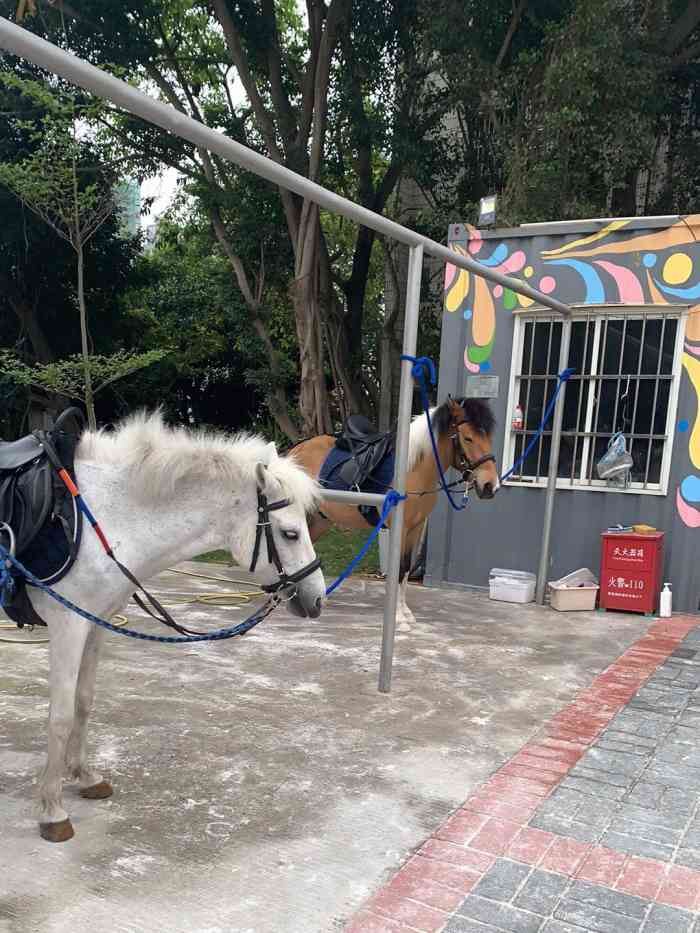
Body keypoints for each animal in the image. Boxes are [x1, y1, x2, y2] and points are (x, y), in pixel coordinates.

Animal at [9, 412, 325, 843]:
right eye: (290, 533)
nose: (317, 598)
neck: (105, 517)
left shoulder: (96, 623)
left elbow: (84, 701)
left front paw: (85, 777)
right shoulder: (68, 626)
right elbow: (59, 717)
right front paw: (52, 810)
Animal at [291, 397, 499, 629]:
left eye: (488, 437)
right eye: (468, 438)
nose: (490, 485)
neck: (413, 469)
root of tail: (296, 450)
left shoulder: (416, 529)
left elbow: (406, 569)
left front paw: (406, 613)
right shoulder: (401, 528)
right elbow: (398, 569)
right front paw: (399, 618)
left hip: (320, 520)